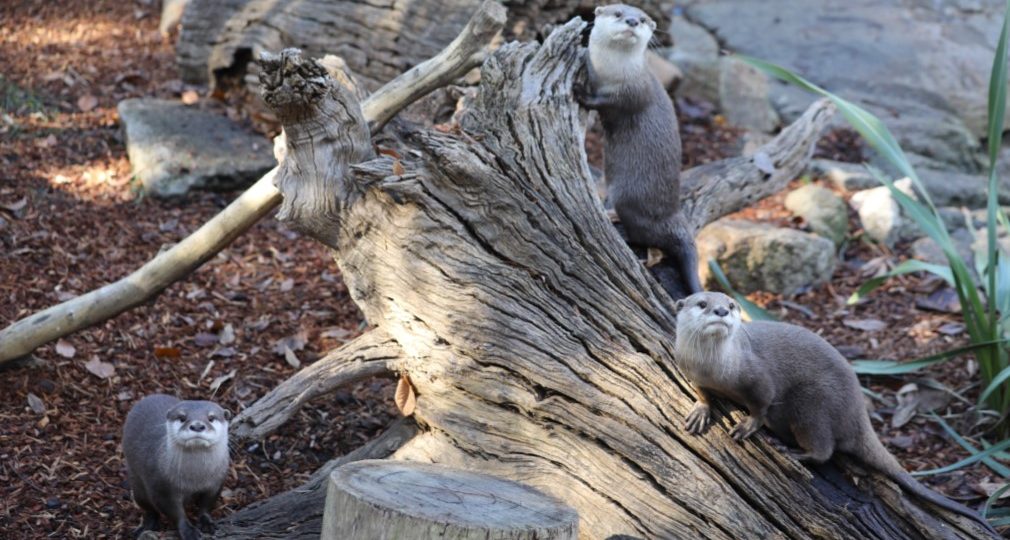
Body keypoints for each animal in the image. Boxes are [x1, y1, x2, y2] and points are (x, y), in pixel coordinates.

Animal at [124, 393, 231, 540]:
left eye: (211, 418)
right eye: (182, 418)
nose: (197, 426)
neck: (196, 478)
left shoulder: (216, 482)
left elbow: (207, 504)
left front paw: (206, 522)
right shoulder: (161, 488)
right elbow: (174, 511)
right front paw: (188, 531)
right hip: (137, 482)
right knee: (147, 507)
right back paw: (148, 525)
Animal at [577, 3, 702, 296]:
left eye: (643, 19)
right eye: (618, 13)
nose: (633, 21)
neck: (610, 71)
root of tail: (674, 216)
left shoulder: (632, 92)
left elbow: (607, 103)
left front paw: (581, 93)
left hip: (629, 198)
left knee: (643, 235)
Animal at [674, 288, 997, 532]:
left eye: (730, 305)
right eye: (702, 304)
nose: (721, 311)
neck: (715, 370)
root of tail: (859, 412)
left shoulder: (758, 377)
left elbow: (762, 404)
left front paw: (748, 425)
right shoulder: (690, 370)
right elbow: (701, 392)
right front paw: (701, 410)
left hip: (811, 403)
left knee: (824, 449)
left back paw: (795, 452)